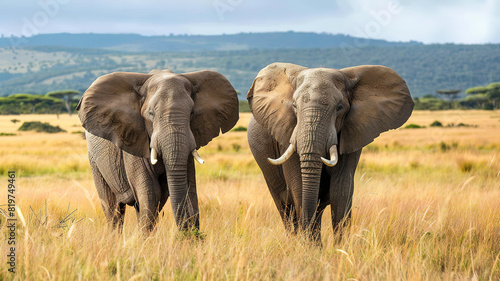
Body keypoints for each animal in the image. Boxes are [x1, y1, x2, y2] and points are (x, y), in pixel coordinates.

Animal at [77, 68, 240, 232]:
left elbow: (189, 187)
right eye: (151, 114)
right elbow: (150, 191)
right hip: (94, 160)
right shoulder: (134, 139)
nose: (187, 233)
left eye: (192, 113)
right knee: (113, 209)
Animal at [246, 62, 414, 242]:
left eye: (339, 107)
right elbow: (299, 188)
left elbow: (341, 191)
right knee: (285, 207)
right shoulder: (286, 132)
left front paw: (339, 247)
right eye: (294, 106)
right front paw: (309, 247)